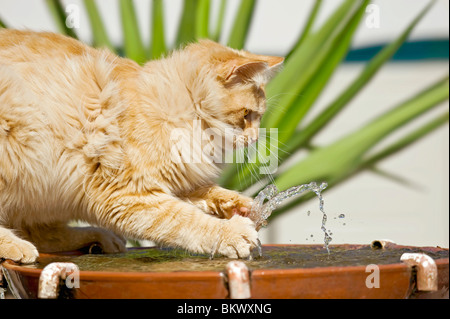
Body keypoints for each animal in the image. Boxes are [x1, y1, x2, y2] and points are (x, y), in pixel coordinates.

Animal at [0, 28, 282, 264]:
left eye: (257, 116)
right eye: (247, 115)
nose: (255, 137)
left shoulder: (172, 180)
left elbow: (206, 193)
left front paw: (244, 206)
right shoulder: (127, 194)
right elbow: (185, 220)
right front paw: (231, 233)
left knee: (43, 233)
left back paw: (99, 238)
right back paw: (16, 246)